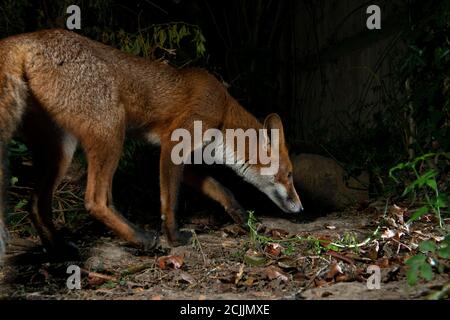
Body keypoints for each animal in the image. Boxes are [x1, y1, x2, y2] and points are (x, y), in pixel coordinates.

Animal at [0, 28, 304, 258]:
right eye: (289, 175)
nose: (301, 209)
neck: (223, 112)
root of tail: (27, 37)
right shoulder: (174, 143)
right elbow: (169, 202)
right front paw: (174, 237)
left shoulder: (185, 157)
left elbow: (220, 188)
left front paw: (239, 214)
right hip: (111, 131)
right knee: (95, 201)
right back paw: (141, 239)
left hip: (59, 151)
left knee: (35, 204)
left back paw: (60, 249)